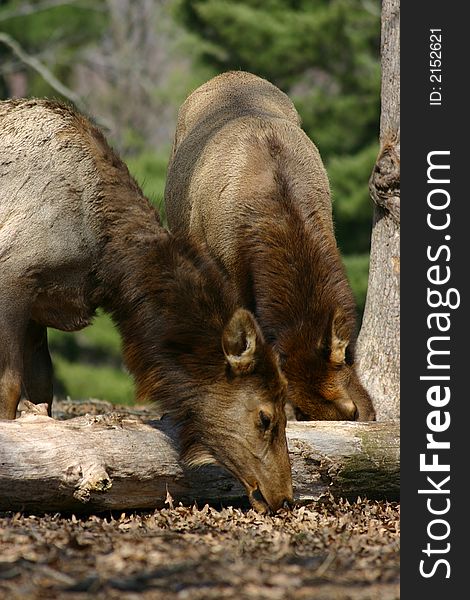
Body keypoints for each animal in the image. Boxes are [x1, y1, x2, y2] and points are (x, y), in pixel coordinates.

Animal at [0, 99, 292, 510]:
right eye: (265, 417)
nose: (284, 495)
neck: (105, 261)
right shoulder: (13, 276)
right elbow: (10, 388)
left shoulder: (40, 306)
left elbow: (42, 389)